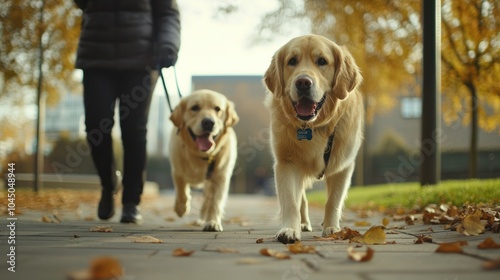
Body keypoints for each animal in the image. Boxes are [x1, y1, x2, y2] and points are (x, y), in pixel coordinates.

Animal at [169, 89, 239, 232]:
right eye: (195, 108)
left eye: (217, 109)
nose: (208, 122)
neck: (201, 155)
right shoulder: (176, 168)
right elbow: (181, 189)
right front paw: (181, 208)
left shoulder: (220, 176)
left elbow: (215, 202)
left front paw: (213, 222)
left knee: (207, 201)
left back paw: (204, 219)